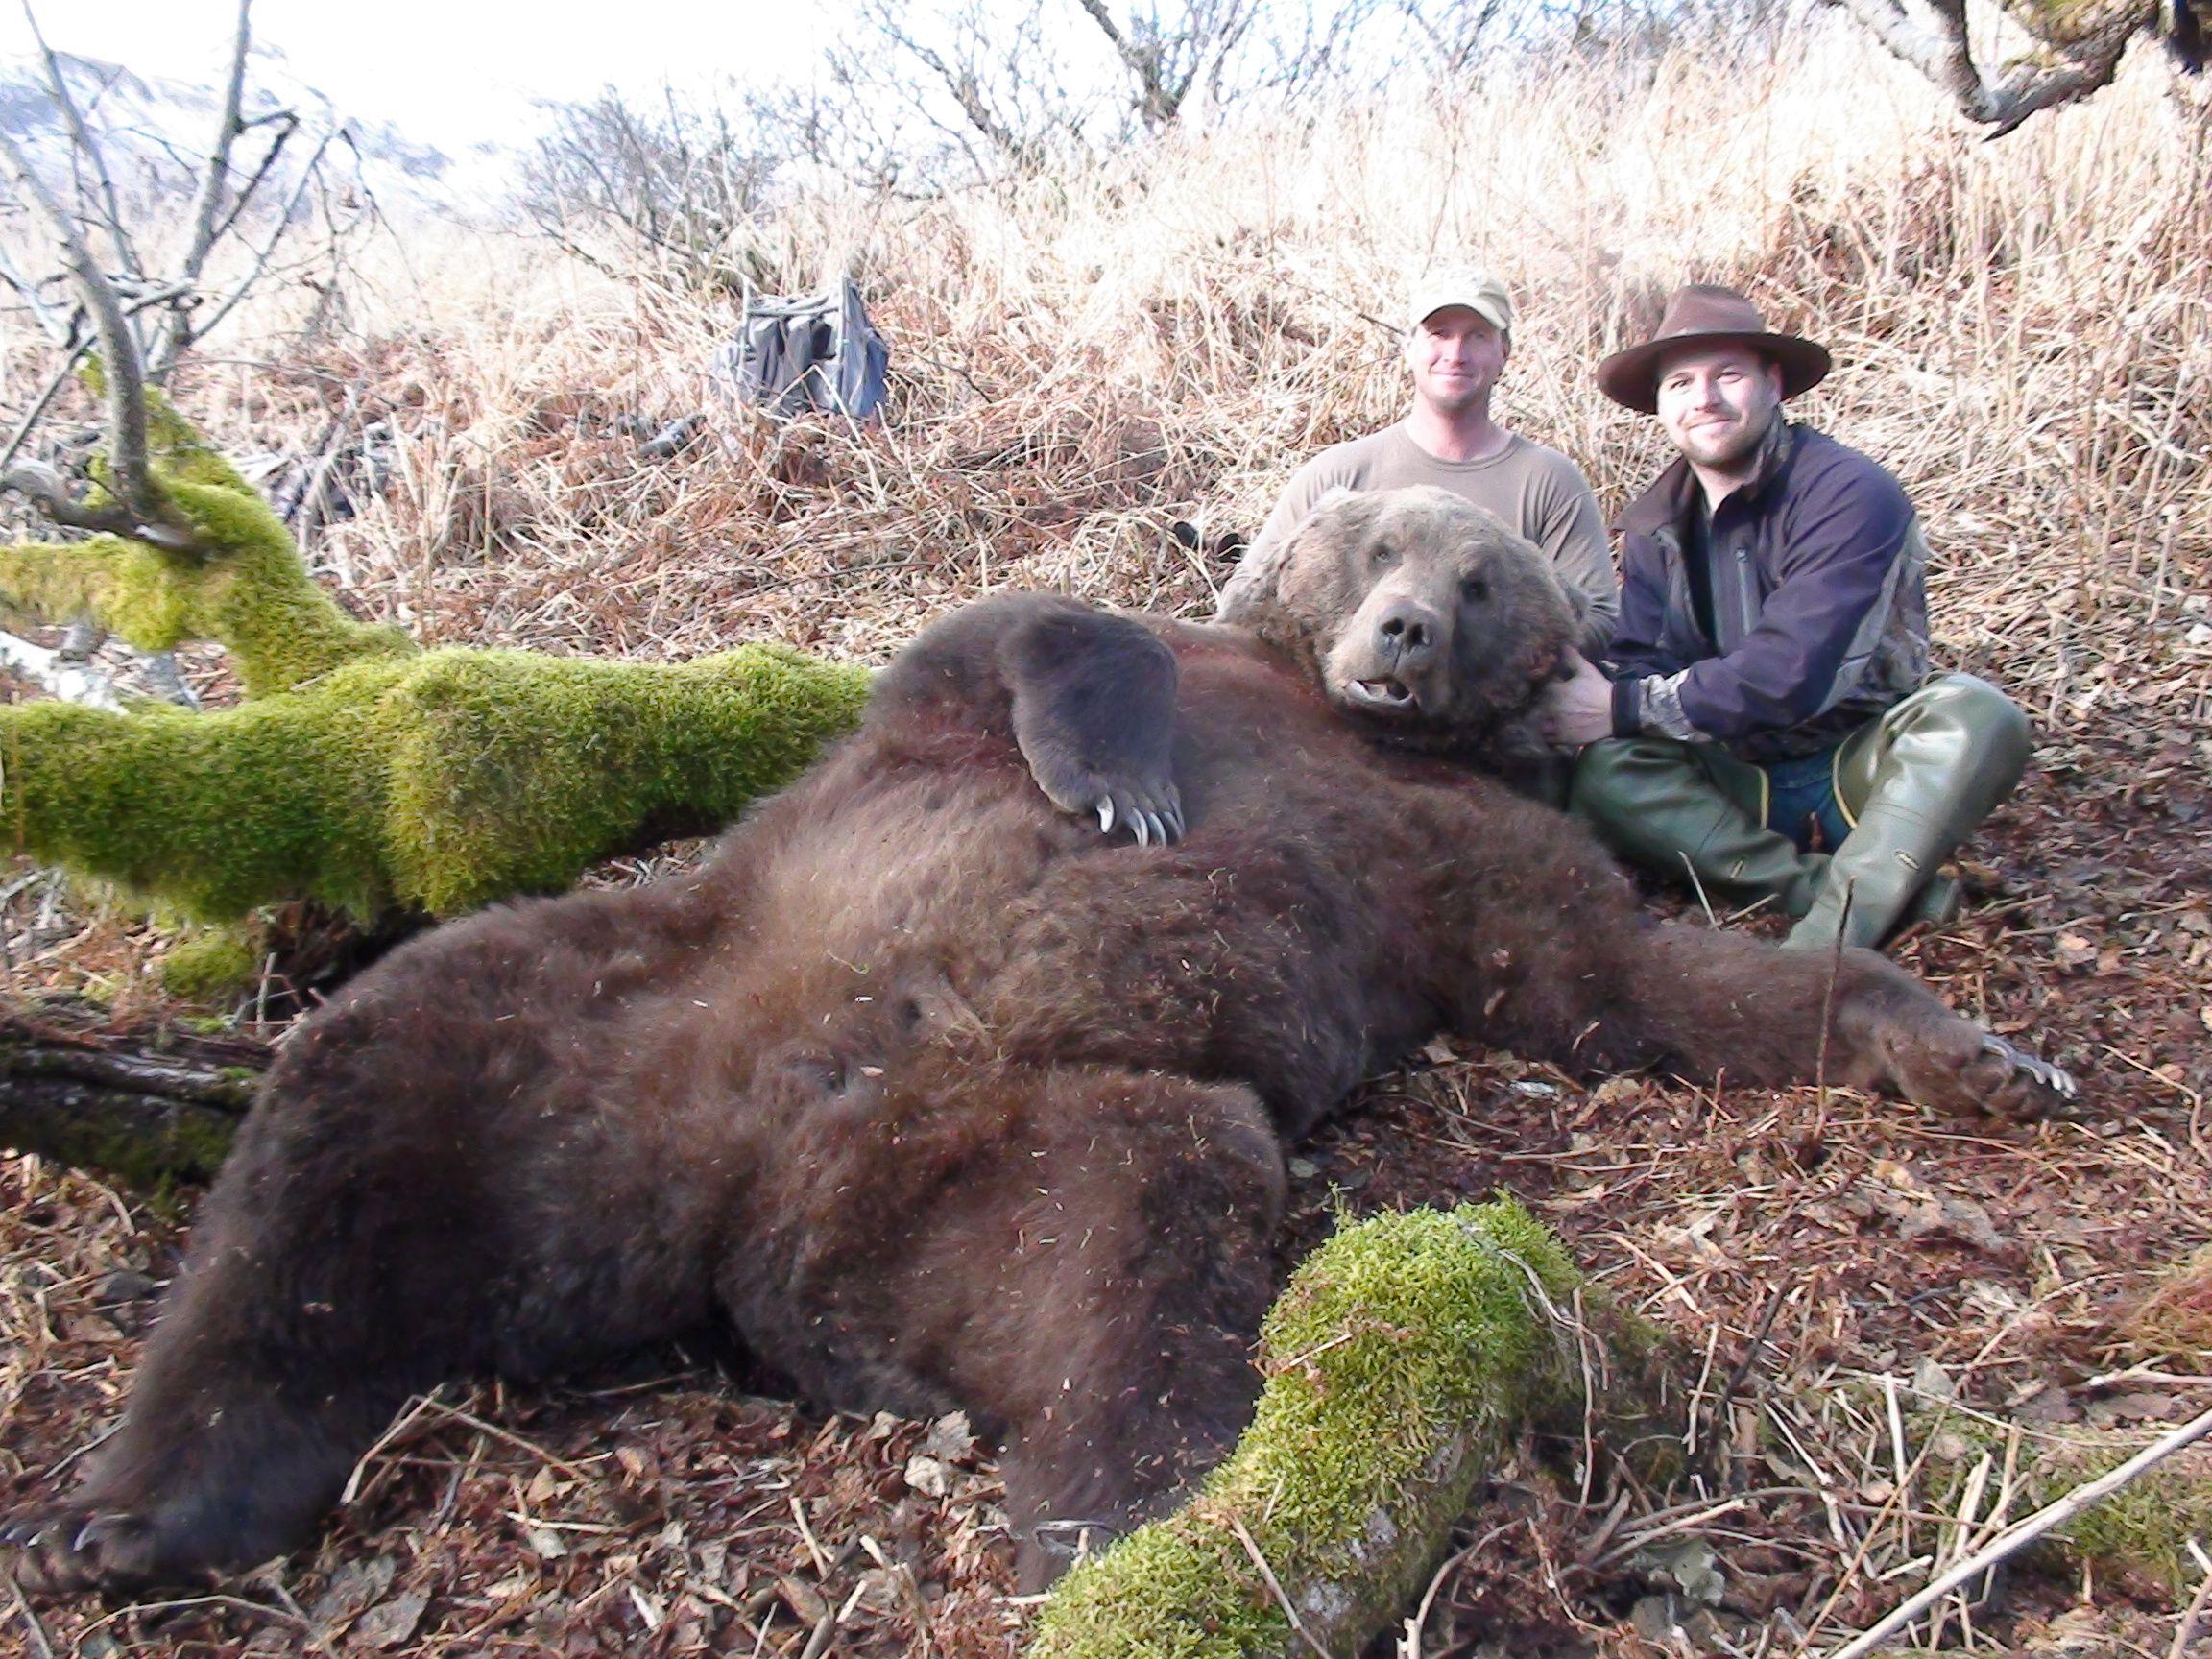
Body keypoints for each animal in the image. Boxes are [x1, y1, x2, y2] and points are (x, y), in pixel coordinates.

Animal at [3, 486, 2072, 1598]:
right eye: (1370, 545)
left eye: (1482, 579)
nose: (1403, 630)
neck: (1346, 729)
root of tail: (738, 1208)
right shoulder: (995, 704)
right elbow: (1027, 628)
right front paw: (1128, 780)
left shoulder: (1467, 862)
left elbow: (1620, 976)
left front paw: (1985, 1058)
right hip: (609, 997)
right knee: (336, 1125)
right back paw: (125, 1506)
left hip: (1041, 1142)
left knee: (1126, 1278)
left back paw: (1138, 1529)